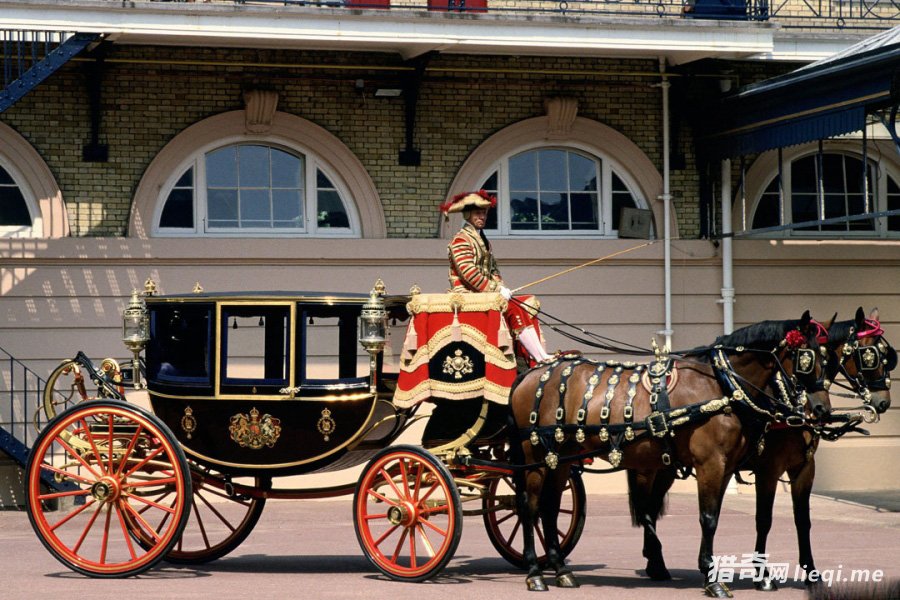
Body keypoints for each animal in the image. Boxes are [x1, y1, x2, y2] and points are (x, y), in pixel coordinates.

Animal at [506, 310, 828, 596]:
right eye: (807, 357)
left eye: (825, 357)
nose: (820, 408)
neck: (719, 385)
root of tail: (532, 373)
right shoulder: (713, 463)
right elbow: (708, 518)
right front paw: (712, 578)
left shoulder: (727, 468)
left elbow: (718, 516)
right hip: (534, 453)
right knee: (529, 506)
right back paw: (535, 573)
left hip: (560, 457)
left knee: (549, 507)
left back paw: (561, 570)